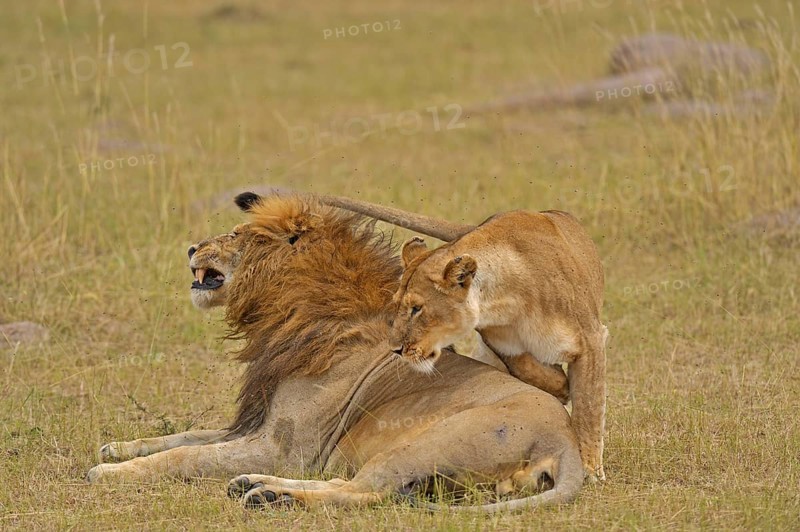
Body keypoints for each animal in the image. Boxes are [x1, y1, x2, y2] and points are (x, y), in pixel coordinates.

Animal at [87, 193, 584, 512]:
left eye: (234, 234)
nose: (191, 247)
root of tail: (567, 441)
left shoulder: (282, 448)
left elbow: (184, 457)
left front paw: (108, 473)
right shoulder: (254, 427)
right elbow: (185, 437)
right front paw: (118, 448)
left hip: (421, 443)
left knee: (364, 492)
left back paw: (270, 497)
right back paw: (256, 487)